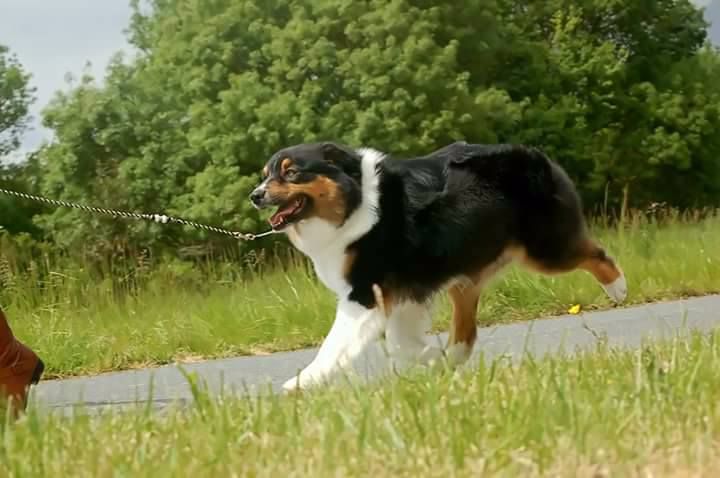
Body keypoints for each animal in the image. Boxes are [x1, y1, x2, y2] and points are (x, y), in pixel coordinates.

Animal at [249, 142, 627, 391]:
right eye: (266, 175)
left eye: (292, 173)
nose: (255, 195)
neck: (354, 202)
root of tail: (535, 152)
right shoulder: (402, 292)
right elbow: (401, 342)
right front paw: (430, 356)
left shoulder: (364, 292)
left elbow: (336, 345)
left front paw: (302, 382)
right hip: (464, 273)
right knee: (466, 332)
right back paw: (450, 359)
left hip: (544, 250)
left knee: (597, 253)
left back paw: (619, 289)